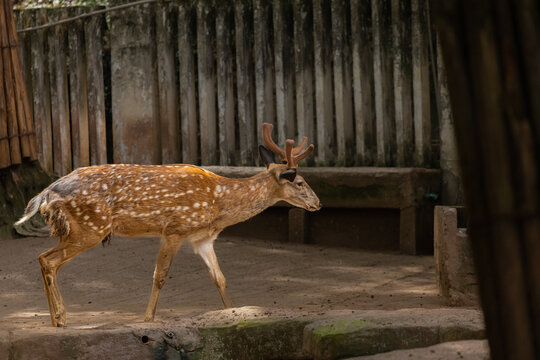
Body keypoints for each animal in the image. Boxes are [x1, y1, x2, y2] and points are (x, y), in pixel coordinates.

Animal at [14, 123, 320, 326]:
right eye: (300, 182)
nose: (317, 203)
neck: (218, 202)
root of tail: (47, 192)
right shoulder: (175, 228)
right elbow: (159, 276)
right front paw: (148, 319)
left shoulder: (202, 238)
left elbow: (219, 278)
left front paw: (231, 313)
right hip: (91, 226)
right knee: (48, 260)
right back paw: (60, 319)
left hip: (79, 228)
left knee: (44, 259)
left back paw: (56, 318)